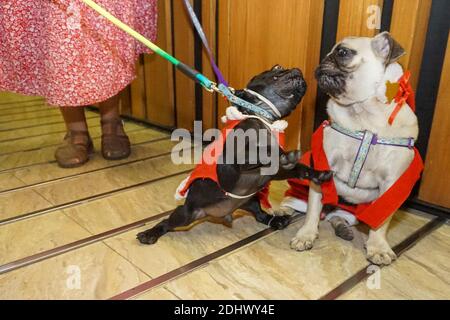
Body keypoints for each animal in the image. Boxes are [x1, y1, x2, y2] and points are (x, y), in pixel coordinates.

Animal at [139, 65, 332, 245]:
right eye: (276, 68)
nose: (298, 69)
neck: (262, 118)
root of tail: (218, 215)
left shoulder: (275, 172)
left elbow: (299, 169)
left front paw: (317, 174)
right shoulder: (229, 166)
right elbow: (259, 153)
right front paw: (281, 155)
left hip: (251, 201)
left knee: (259, 215)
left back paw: (276, 220)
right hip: (186, 214)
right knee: (167, 222)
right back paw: (150, 233)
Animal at [282, 32, 418, 266]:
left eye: (343, 52)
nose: (324, 59)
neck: (365, 116)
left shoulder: (391, 186)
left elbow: (381, 220)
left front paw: (378, 247)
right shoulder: (322, 168)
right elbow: (313, 209)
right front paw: (306, 234)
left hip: (352, 213)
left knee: (337, 216)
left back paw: (343, 228)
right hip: (298, 192)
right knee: (299, 204)